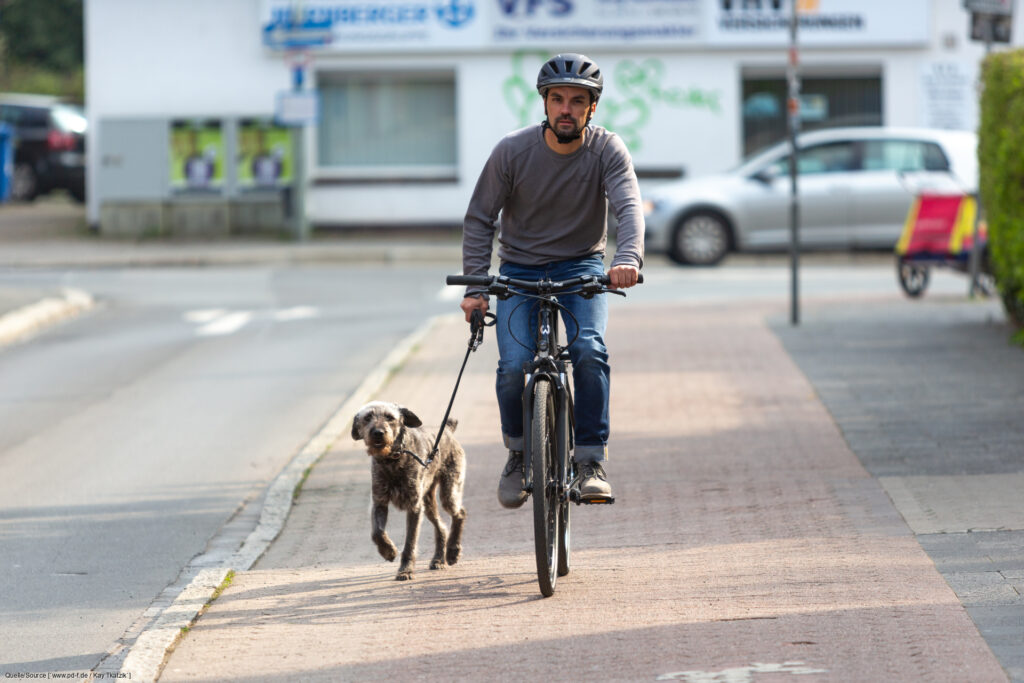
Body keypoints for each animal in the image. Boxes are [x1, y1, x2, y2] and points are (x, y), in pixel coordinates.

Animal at [350, 401, 466, 581]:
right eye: (367, 417)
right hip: (428, 502)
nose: (378, 433)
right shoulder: (379, 502)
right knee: (441, 526)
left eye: (390, 417)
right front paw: (388, 551)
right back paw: (439, 559)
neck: (393, 459)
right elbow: (377, 532)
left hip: (449, 491)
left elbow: (410, 542)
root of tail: (447, 430)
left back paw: (453, 551)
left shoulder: (414, 507)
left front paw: (405, 570)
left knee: (459, 513)